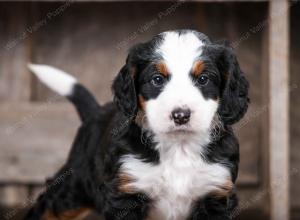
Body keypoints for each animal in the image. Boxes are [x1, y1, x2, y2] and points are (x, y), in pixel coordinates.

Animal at [23, 29, 250, 220]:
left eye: (203, 79)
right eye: (157, 79)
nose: (180, 115)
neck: (179, 147)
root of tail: (96, 113)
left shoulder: (216, 191)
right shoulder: (127, 192)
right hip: (74, 186)